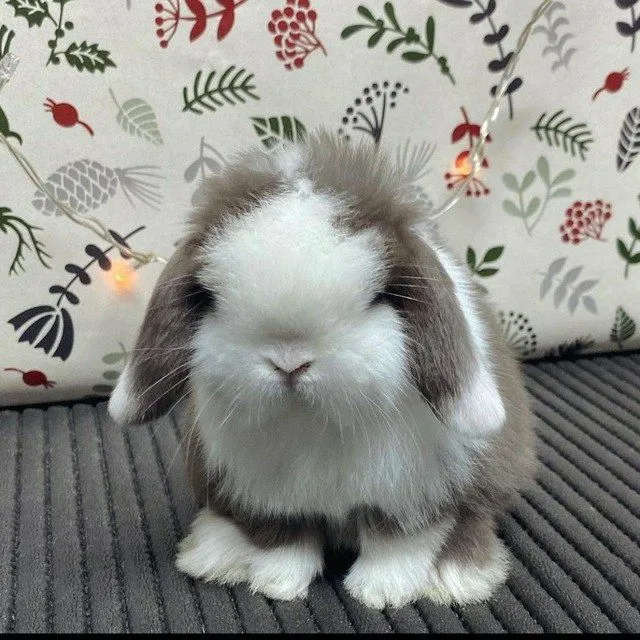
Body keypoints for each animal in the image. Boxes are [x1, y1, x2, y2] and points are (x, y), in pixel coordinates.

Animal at [108, 131, 536, 609]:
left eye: (380, 296)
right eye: (209, 297)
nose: (290, 362)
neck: (314, 423)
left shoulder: (412, 497)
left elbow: (398, 545)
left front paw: (379, 594)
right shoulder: (272, 500)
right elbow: (283, 541)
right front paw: (276, 584)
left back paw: (457, 577)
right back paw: (215, 554)